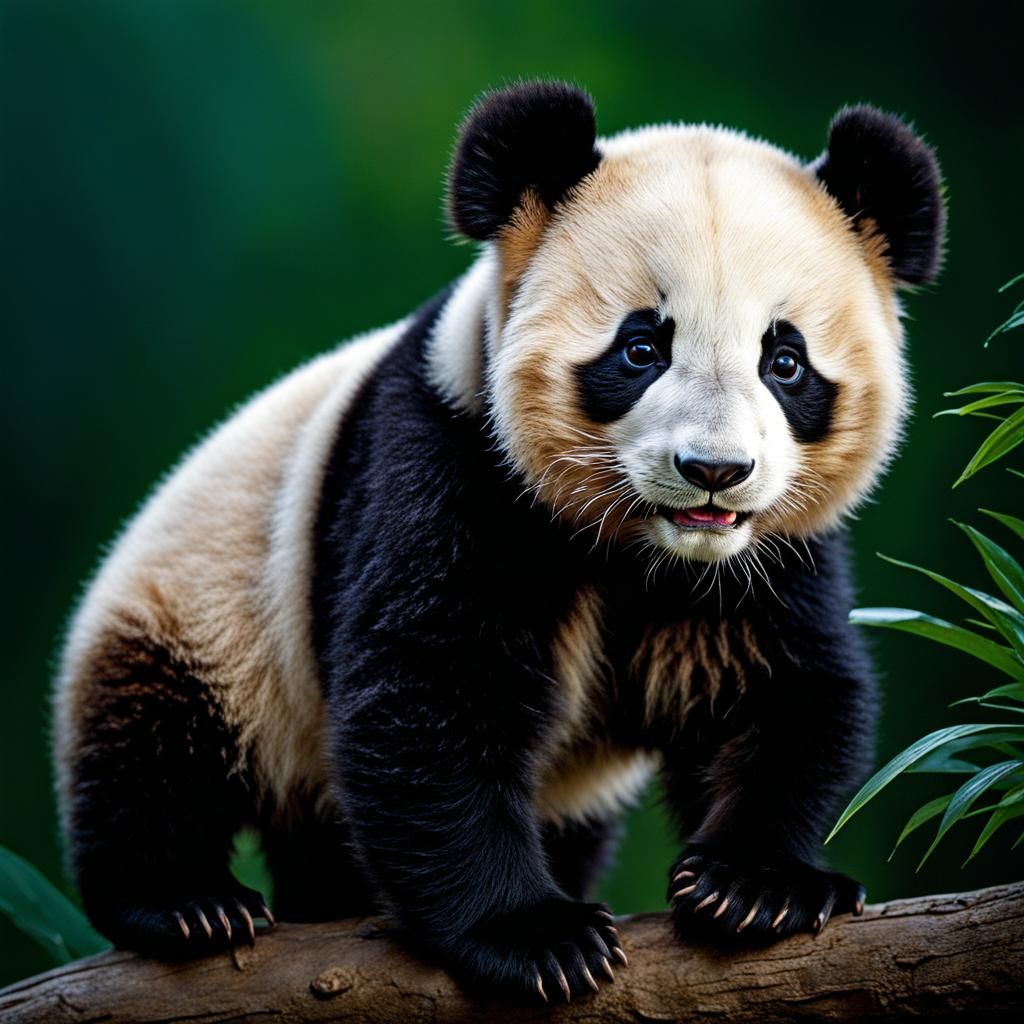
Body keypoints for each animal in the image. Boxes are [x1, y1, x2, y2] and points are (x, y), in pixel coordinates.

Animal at [54, 81, 944, 1004]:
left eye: (785, 361)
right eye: (640, 348)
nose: (714, 471)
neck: (646, 547)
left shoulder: (772, 556)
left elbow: (786, 691)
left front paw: (755, 888)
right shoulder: (451, 461)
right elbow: (432, 693)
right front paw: (536, 938)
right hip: (202, 605)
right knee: (155, 746)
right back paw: (187, 903)